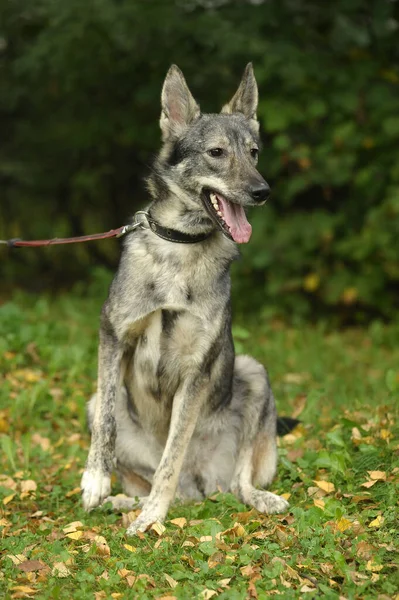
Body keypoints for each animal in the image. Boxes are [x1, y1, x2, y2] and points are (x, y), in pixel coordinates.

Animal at [81, 64, 296, 536]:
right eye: (216, 152)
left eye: (254, 153)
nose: (263, 191)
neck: (182, 247)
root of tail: (201, 488)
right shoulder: (113, 337)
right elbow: (106, 422)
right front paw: (96, 480)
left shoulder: (198, 370)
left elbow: (172, 453)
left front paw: (152, 518)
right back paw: (122, 500)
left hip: (253, 372)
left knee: (237, 482)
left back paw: (258, 498)